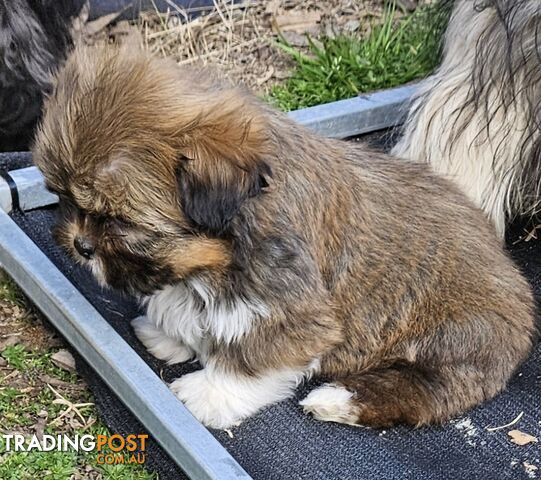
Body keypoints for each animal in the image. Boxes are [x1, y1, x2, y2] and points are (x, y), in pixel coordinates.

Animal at [33, 44, 536, 428]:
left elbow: (252, 357)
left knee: (429, 390)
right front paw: (170, 335)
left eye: (119, 221)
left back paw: (338, 401)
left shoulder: (287, 309)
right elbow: (191, 312)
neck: (218, 253)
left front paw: (208, 393)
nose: (81, 245)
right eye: (65, 200)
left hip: (455, 338)